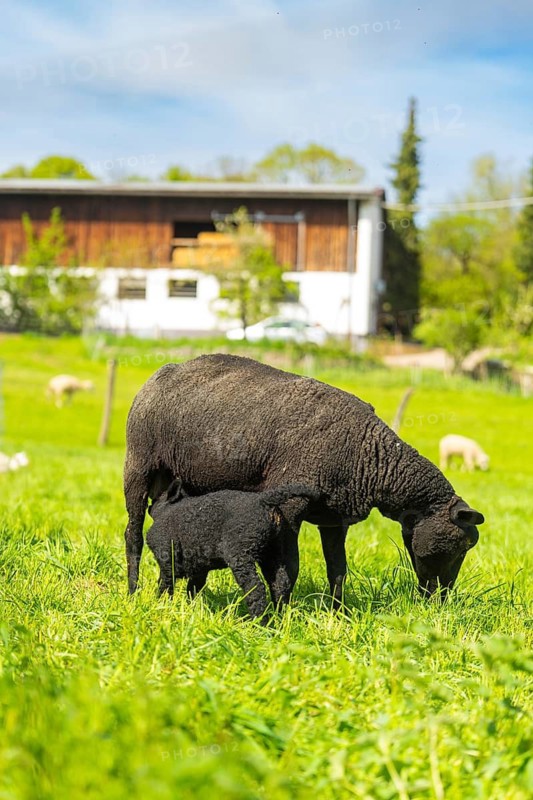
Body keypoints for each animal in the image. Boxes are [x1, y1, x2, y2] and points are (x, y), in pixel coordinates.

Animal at [124, 354, 484, 602]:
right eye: (461, 546)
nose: (439, 598)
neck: (370, 457)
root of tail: (164, 371)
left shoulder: (334, 519)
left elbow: (338, 571)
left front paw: (337, 614)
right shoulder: (287, 510)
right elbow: (287, 570)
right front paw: (280, 615)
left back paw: (185, 596)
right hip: (138, 466)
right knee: (133, 534)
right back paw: (134, 591)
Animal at [147, 479, 321, 620]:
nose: (149, 505)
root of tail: (263, 500)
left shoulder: (167, 561)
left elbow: (165, 588)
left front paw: (160, 607)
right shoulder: (199, 570)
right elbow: (193, 590)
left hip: (240, 555)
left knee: (256, 589)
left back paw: (260, 623)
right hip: (273, 552)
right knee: (280, 585)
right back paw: (280, 619)